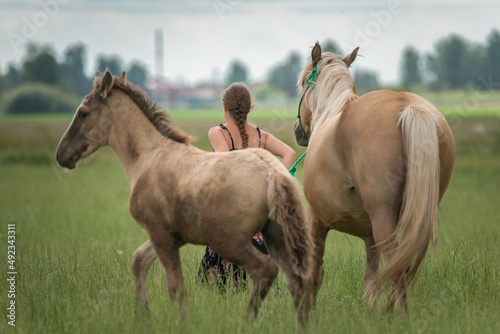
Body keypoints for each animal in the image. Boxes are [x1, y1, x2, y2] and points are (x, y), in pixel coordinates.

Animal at [56, 72, 310, 324]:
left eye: (83, 113)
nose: (61, 155)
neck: (149, 157)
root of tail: (272, 174)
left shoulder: (160, 235)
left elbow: (175, 286)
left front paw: (181, 321)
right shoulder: (168, 236)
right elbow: (139, 260)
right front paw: (143, 314)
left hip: (229, 240)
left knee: (264, 270)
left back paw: (246, 321)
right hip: (276, 237)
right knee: (297, 279)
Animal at [294, 43, 456, 310]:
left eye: (302, 83)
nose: (298, 132)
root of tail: (408, 106)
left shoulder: (315, 220)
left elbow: (315, 273)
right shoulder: (369, 236)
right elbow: (371, 280)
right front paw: (372, 313)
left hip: (383, 219)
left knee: (398, 271)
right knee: (403, 266)